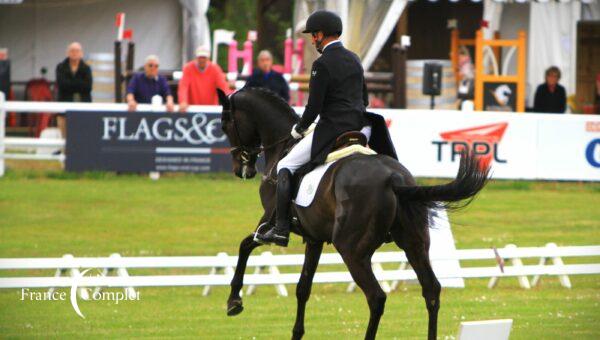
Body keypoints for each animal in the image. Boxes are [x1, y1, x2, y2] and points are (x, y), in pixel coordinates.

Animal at [218, 88, 490, 340]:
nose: (242, 170)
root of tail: (394, 178)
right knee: (431, 290)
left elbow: (245, 245)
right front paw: (296, 333)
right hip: (415, 243)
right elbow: (303, 288)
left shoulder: (269, 221)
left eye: (225, 124)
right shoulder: (314, 238)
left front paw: (234, 302)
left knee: (376, 297)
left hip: (352, 250)